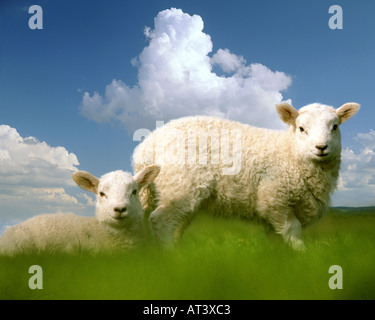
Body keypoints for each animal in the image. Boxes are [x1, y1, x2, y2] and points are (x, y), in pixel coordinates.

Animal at [133, 102, 362, 250]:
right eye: (301, 128)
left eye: (335, 127)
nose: (321, 147)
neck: (289, 153)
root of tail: (145, 148)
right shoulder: (274, 199)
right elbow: (294, 234)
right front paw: (305, 260)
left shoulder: (277, 211)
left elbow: (276, 240)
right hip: (179, 186)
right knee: (161, 222)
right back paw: (171, 260)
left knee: (173, 227)